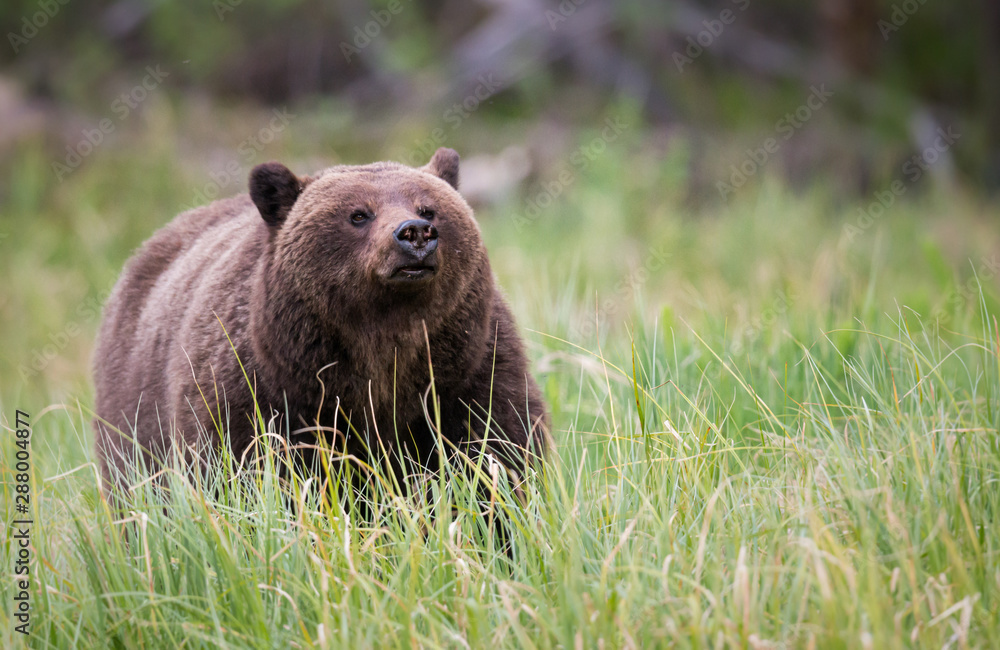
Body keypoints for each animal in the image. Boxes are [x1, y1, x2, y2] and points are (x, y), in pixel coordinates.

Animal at [92, 147, 550, 500]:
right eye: (359, 214)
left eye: (429, 207)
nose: (415, 233)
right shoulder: (261, 393)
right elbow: (247, 475)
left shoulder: (467, 373)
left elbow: (498, 457)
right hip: (132, 410)